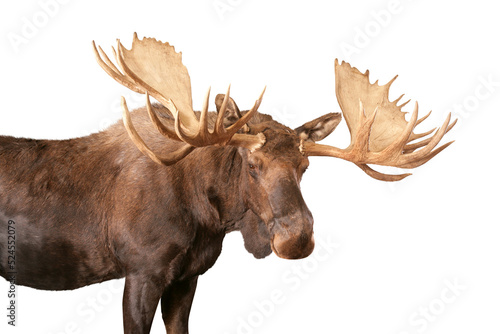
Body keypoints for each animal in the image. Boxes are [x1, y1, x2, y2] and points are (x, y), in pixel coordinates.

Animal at [0, 34, 456, 334]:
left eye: (305, 166)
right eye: (252, 164)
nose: (297, 239)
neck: (208, 218)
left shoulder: (187, 277)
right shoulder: (142, 271)